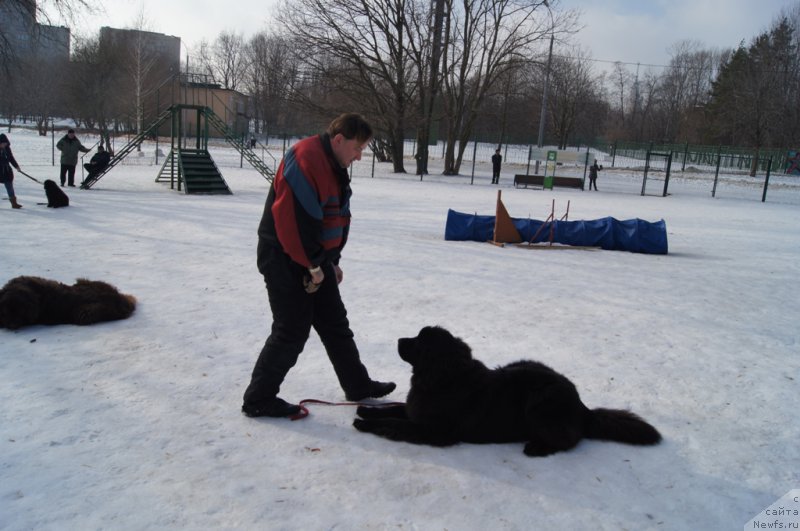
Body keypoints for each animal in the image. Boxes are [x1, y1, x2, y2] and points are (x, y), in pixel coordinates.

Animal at [356, 326, 664, 460]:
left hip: (540, 400)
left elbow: (395, 422)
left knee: (568, 439)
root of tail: (582, 406)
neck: (442, 377)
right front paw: (365, 409)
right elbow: (394, 408)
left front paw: (365, 423)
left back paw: (537, 447)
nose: (399, 339)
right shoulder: (414, 408)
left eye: (419, 341)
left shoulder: (435, 430)